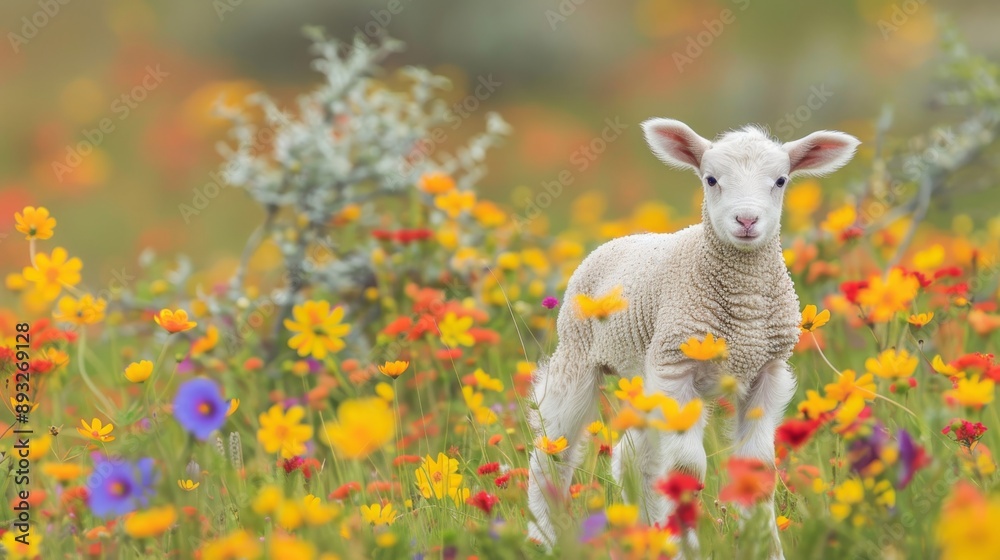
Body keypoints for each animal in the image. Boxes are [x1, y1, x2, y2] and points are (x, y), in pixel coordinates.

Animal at [526, 118, 859, 557]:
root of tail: (623, 239)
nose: (746, 221)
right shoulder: (677, 368)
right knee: (554, 452)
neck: (745, 309)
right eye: (711, 179)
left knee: (634, 460)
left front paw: (767, 549)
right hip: (578, 354)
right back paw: (546, 538)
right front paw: (688, 548)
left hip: (644, 375)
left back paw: (648, 533)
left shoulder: (766, 370)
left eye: (781, 180)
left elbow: (758, 470)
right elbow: (686, 471)